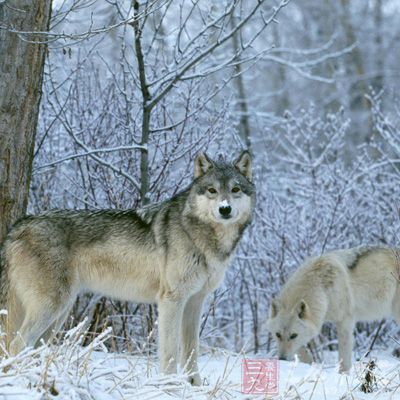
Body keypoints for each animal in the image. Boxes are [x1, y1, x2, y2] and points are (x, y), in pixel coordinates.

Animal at [266, 247, 400, 372]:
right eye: (277, 335)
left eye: (293, 335)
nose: (282, 359)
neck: (321, 288)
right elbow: (301, 349)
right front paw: (310, 363)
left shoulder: (345, 321)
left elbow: (344, 356)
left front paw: (343, 375)